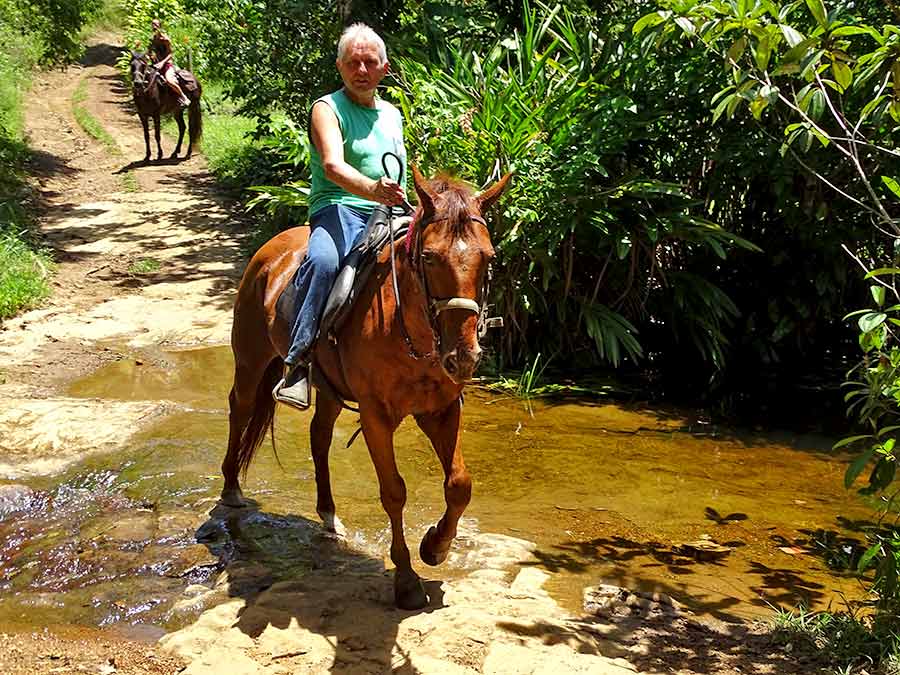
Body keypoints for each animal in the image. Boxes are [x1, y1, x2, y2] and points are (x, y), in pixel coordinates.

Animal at [220, 166, 511, 609]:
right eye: (429, 257)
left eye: (489, 257)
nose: (463, 357)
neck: (408, 330)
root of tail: (270, 247)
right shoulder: (377, 416)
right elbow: (393, 492)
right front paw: (406, 581)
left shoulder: (442, 410)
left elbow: (459, 484)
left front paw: (435, 547)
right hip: (251, 359)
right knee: (240, 408)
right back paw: (231, 488)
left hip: (327, 388)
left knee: (319, 436)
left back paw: (328, 515)